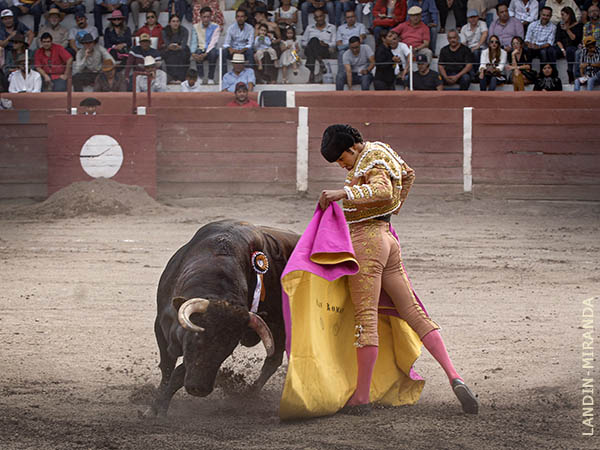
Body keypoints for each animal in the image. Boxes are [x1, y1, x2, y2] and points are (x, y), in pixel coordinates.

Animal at [146, 220, 300, 416]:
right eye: (196, 339)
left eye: (227, 350)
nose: (199, 389)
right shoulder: (160, 326)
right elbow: (167, 367)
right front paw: (154, 408)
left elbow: (178, 374)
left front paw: (160, 408)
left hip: (282, 327)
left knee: (274, 360)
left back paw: (248, 395)